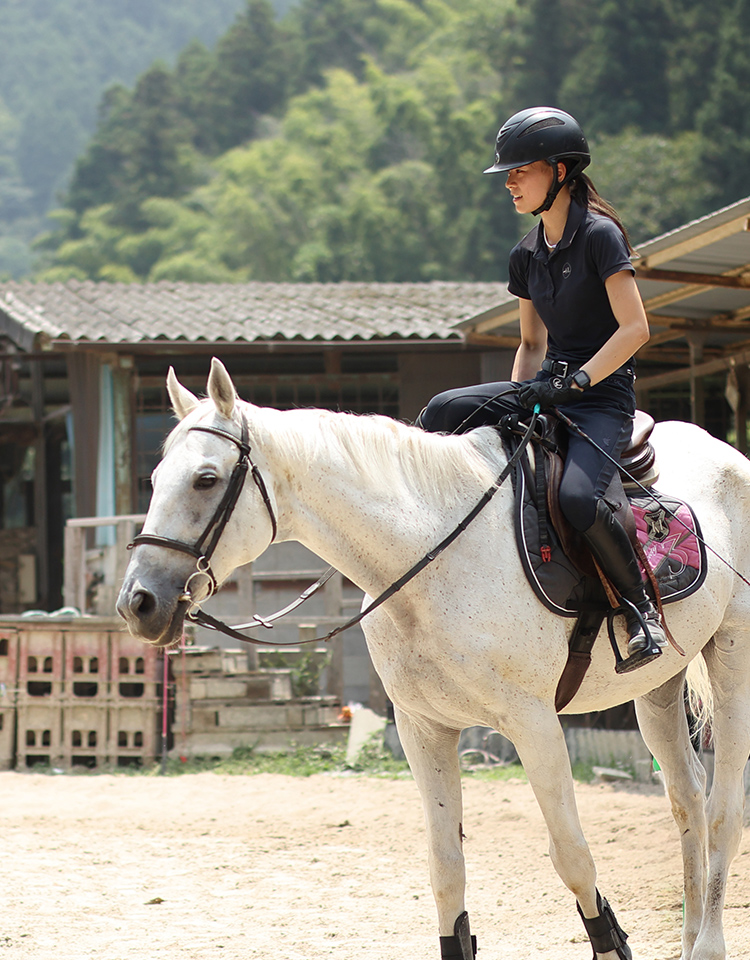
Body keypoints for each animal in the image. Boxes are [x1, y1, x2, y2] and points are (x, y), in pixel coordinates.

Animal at [117, 358, 750, 960]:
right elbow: (446, 868)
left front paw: (611, 943)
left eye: (206, 479)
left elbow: (572, 856)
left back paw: (709, 946)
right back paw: (690, 937)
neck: (432, 552)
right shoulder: (423, 727)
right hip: (658, 686)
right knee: (688, 800)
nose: (138, 603)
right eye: (156, 479)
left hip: (731, 660)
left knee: (722, 806)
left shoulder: (534, 724)